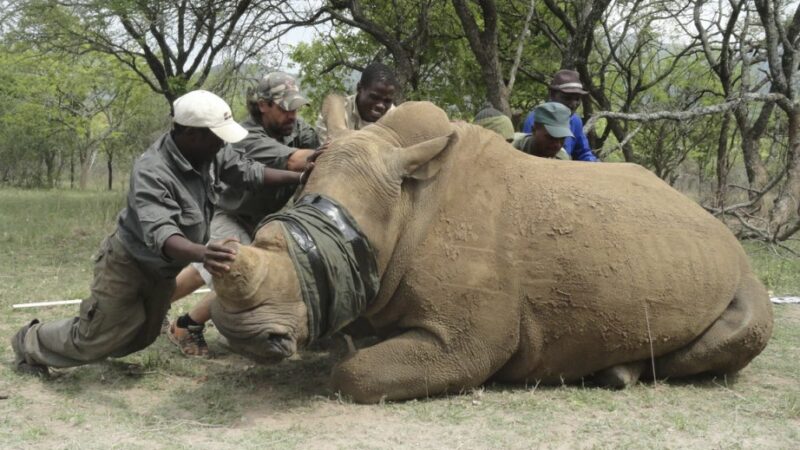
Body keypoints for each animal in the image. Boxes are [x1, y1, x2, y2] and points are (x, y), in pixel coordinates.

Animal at [209, 100, 772, 402]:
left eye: (335, 246)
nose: (242, 334)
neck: (404, 203)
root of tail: (716, 225)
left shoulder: (467, 342)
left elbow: (354, 373)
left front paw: (349, 355)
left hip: (742, 275)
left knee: (746, 326)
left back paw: (617, 374)